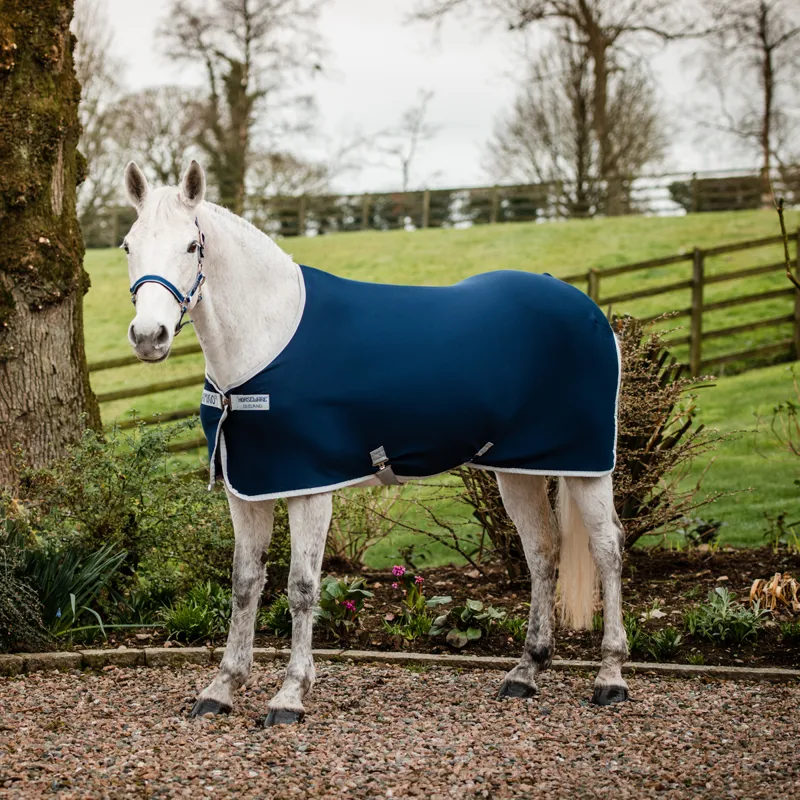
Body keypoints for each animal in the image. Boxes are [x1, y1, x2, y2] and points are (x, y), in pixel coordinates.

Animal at [122, 160, 629, 726]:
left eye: (192, 245)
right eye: (128, 245)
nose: (149, 336)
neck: (266, 339)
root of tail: (584, 307)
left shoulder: (309, 488)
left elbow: (301, 587)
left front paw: (290, 695)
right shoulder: (246, 490)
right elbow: (245, 582)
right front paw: (222, 687)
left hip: (588, 466)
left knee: (608, 549)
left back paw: (611, 677)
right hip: (517, 469)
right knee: (542, 551)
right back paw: (526, 671)